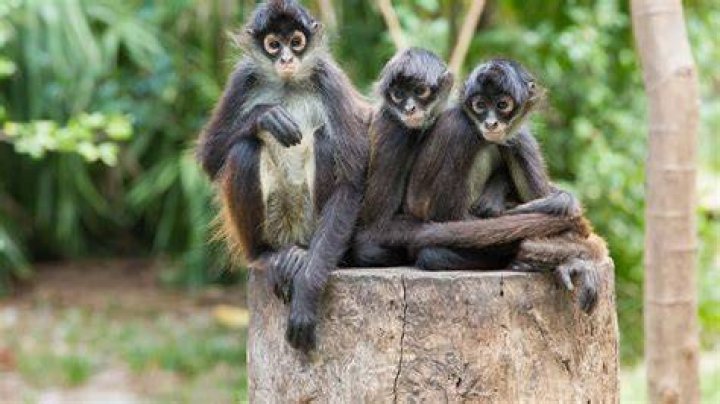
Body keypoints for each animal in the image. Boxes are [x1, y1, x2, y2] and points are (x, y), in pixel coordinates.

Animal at [196, 0, 369, 351]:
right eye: (274, 44)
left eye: (297, 42)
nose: (287, 59)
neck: (289, 84)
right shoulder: (242, 78)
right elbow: (210, 157)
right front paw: (264, 116)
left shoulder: (328, 77)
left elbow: (351, 182)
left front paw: (306, 296)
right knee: (243, 149)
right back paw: (266, 257)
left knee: (325, 141)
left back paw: (301, 256)